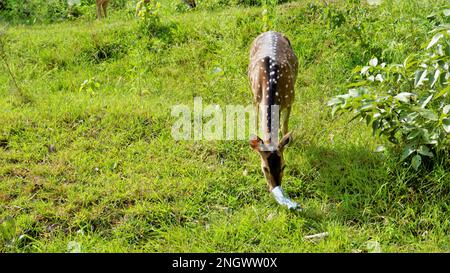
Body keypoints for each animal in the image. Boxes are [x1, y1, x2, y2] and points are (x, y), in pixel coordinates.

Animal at [248, 30, 300, 209]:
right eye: (264, 168)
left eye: (284, 165)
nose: (275, 187)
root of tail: (271, 31)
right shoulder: (256, 99)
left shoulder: (290, 99)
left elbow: (284, 125)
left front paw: (288, 141)